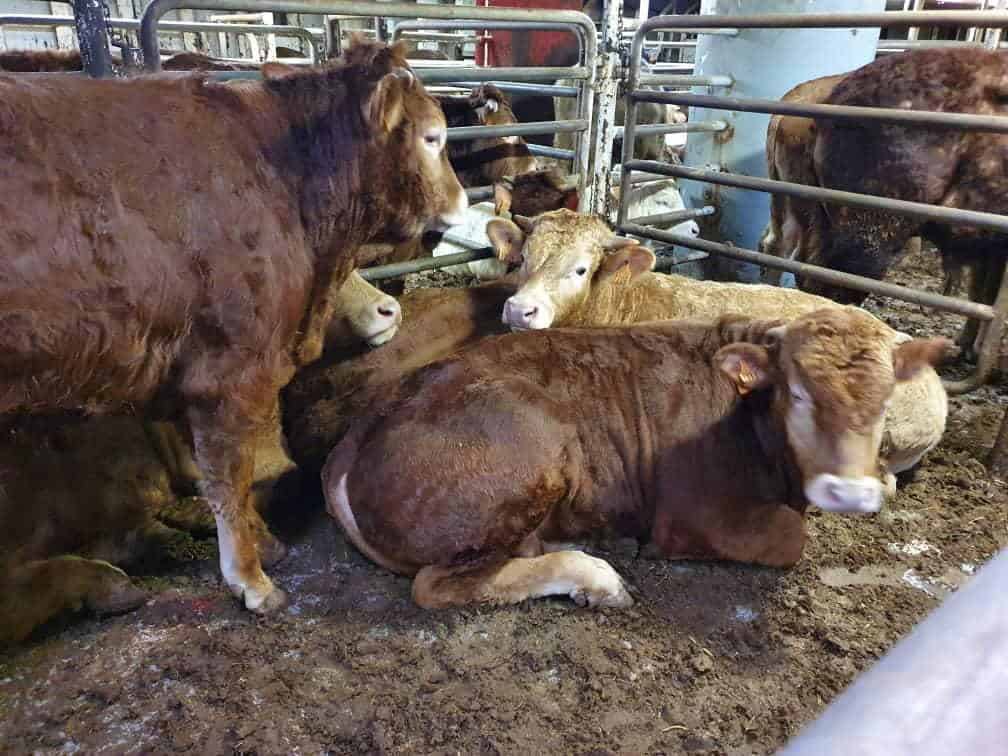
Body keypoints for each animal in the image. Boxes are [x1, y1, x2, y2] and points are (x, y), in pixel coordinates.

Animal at [322, 308, 948, 609]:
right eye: (797, 392)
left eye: (887, 397)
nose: (850, 491)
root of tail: (357, 434)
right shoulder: (695, 518)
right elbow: (792, 539)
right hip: (532, 444)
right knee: (437, 584)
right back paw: (594, 575)